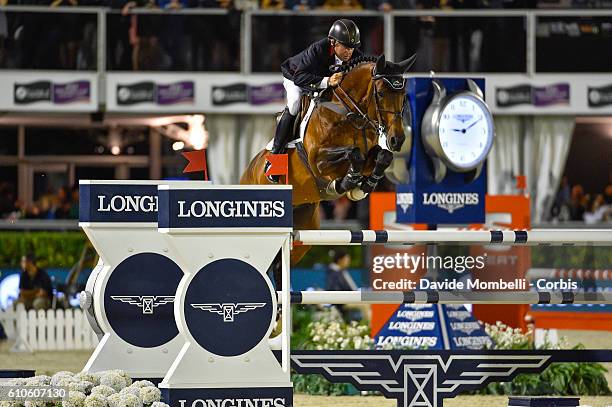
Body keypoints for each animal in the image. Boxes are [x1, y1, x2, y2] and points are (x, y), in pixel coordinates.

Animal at [241, 53, 418, 274]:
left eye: (403, 94)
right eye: (381, 93)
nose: (397, 140)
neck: (348, 113)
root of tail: (247, 173)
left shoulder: (370, 153)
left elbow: (383, 156)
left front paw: (363, 186)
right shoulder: (319, 161)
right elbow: (354, 154)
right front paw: (345, 184)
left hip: (302, 229)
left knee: (280, 266)